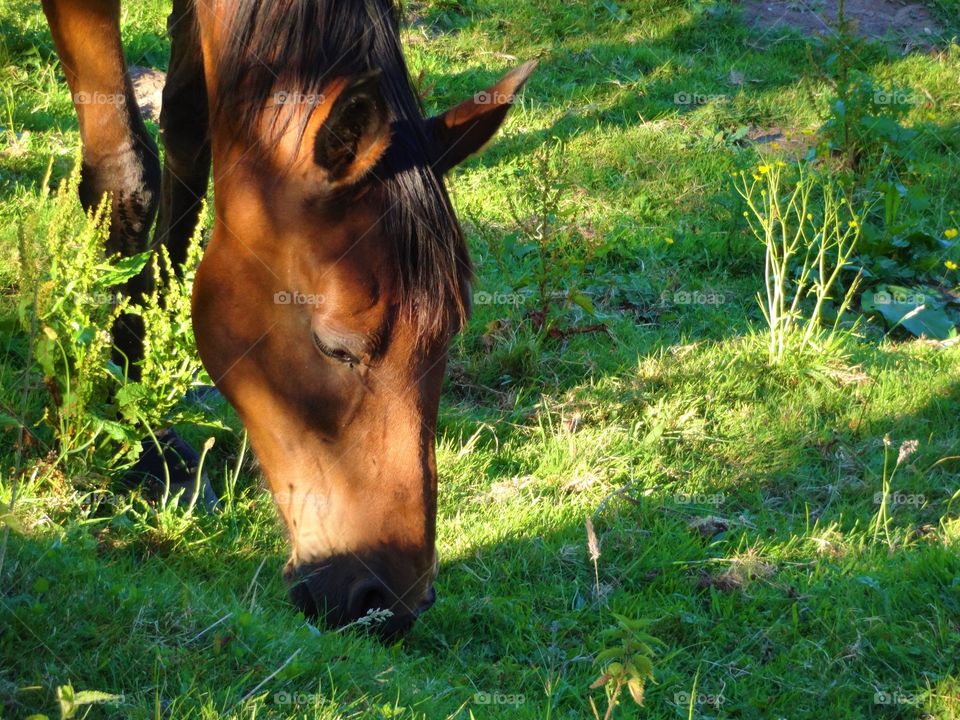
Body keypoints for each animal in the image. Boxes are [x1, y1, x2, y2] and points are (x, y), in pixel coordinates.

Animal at [43, 0, 532, 632]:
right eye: (334, 347)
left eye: (449, 339)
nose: (389, 604)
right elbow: (124, 176)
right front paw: (139, 425)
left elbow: (188, 134)